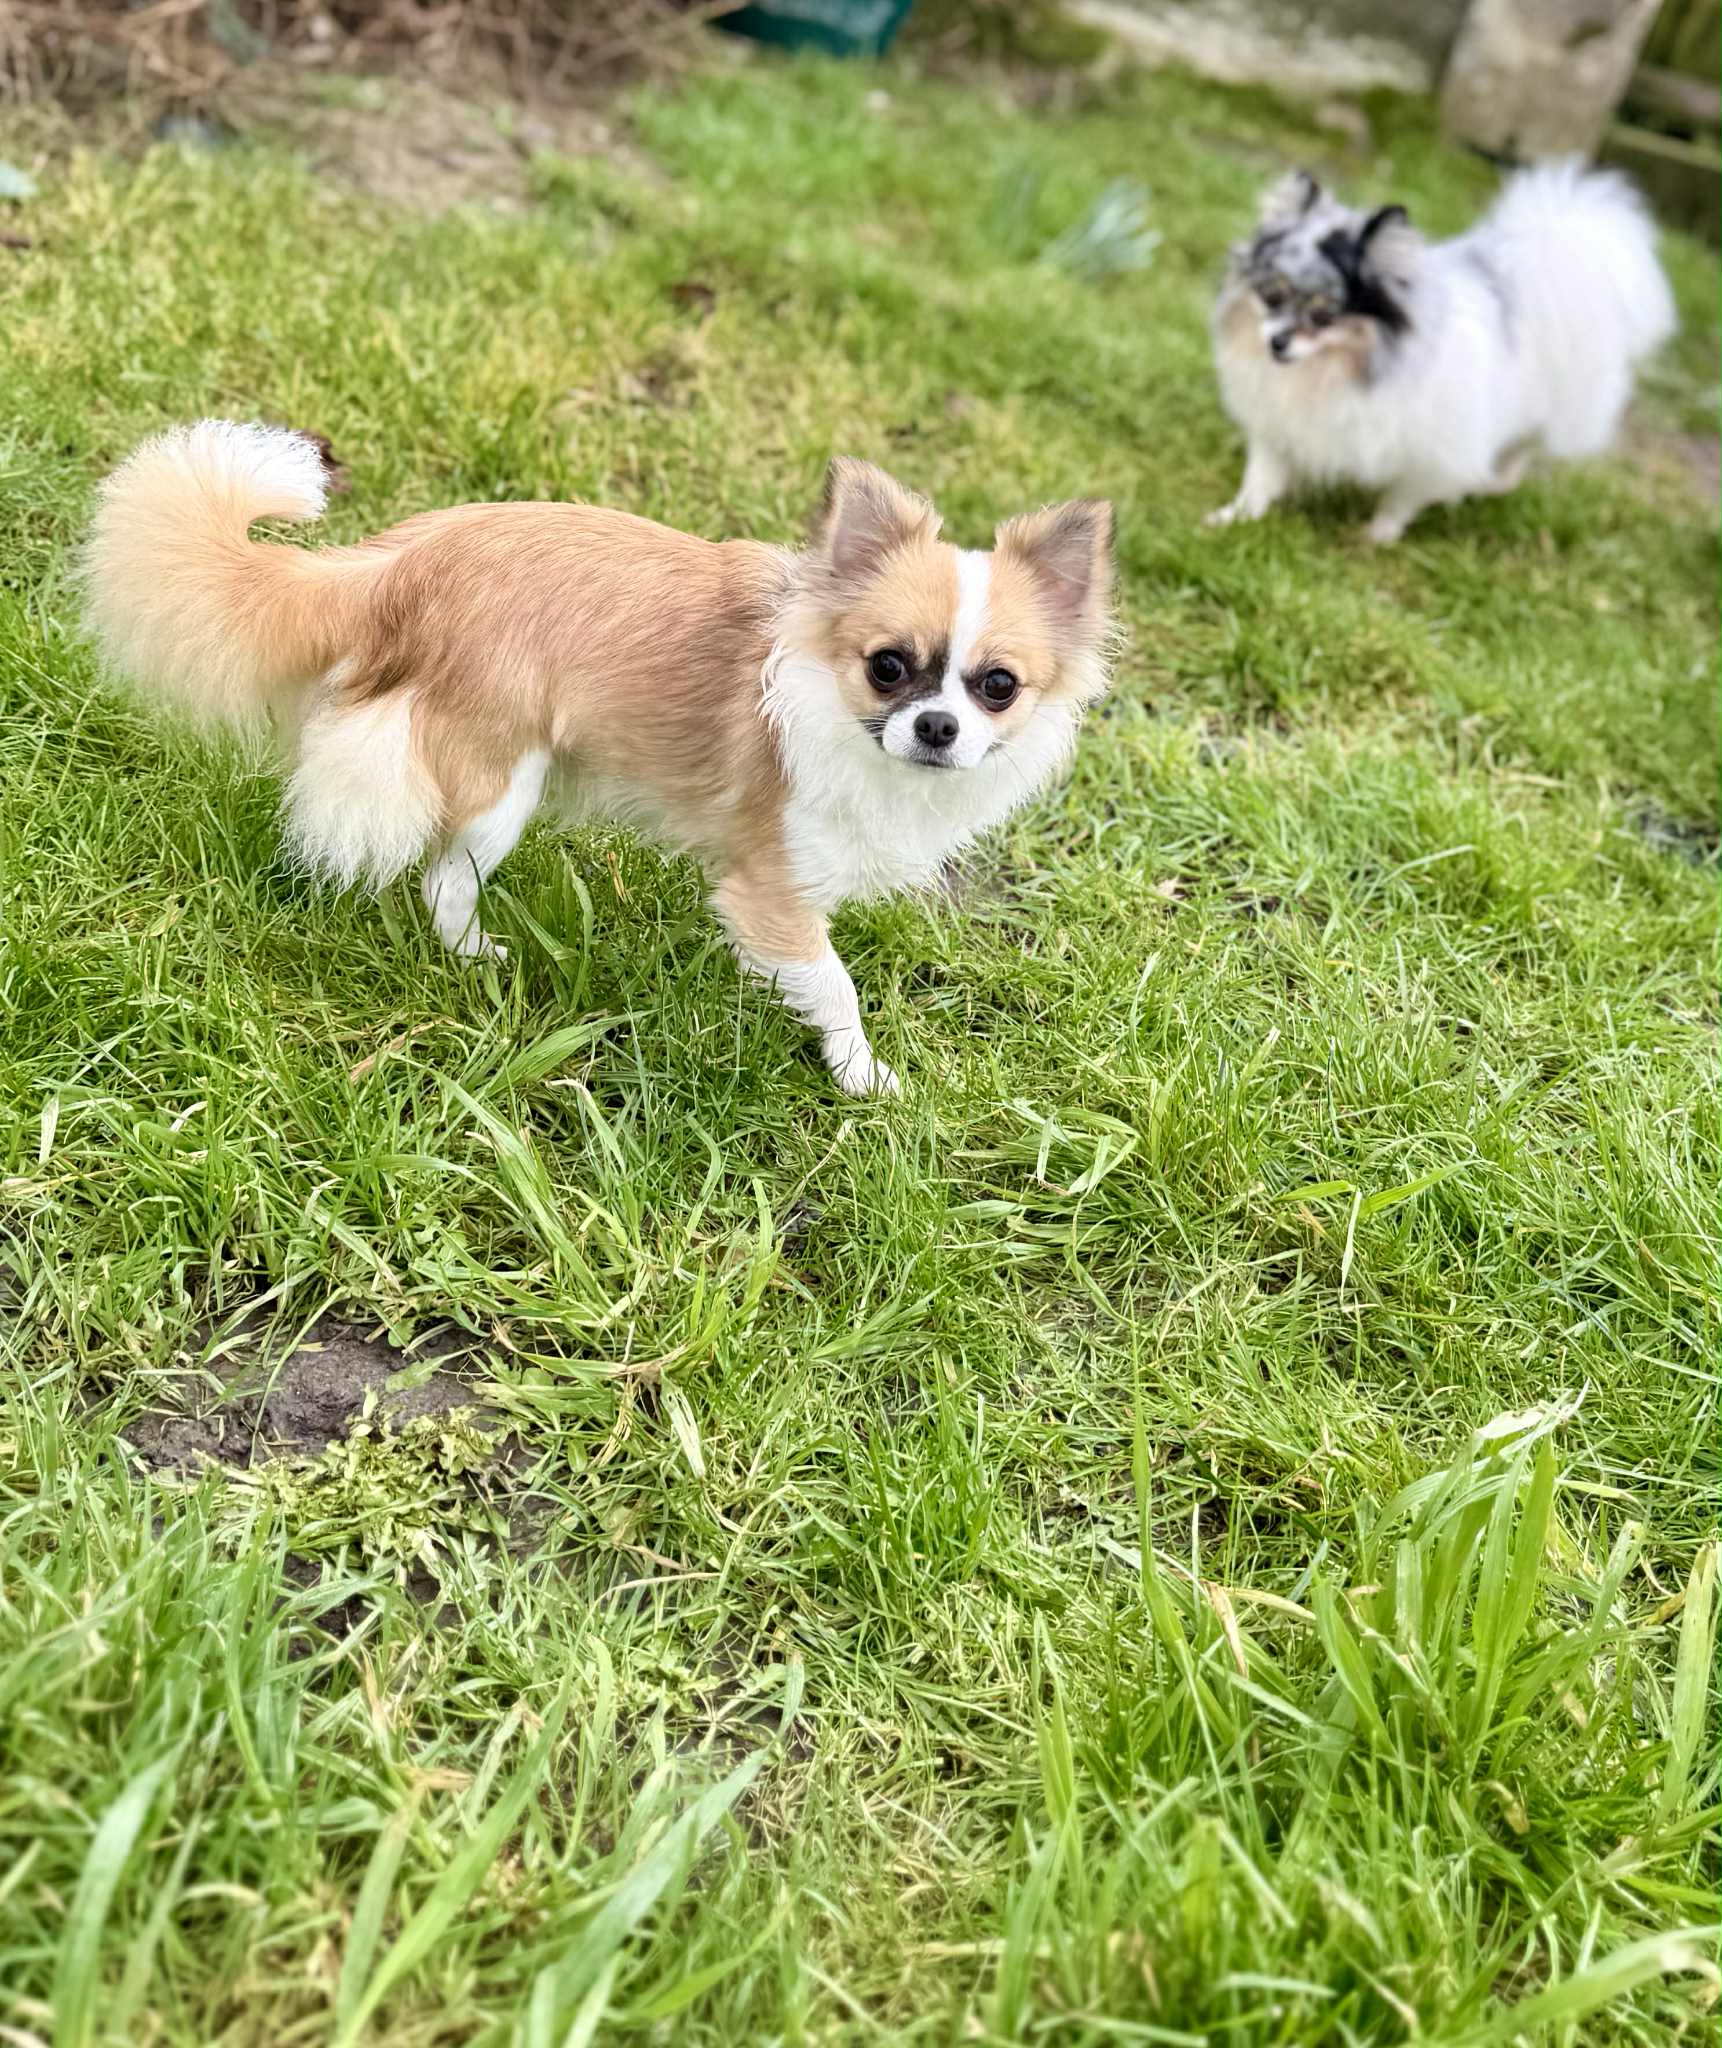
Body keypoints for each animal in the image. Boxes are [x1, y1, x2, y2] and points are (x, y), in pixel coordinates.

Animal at [85, 424, 1112, 1095]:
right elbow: (834, 983)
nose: (936, 727)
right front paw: (864, 1076)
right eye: (889, 667)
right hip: (503, 778)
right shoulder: (769, 885)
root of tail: (393, 567)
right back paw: (478, 959)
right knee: (443, 880)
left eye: (998, 687)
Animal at [1206, 163, 1675, 543]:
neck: (1334, 372)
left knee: (1520, 452)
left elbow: (1403, 497)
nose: (1277, 342)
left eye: (1324, 315)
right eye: (1271, 295)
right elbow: (1260, 480)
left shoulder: (1436, 451)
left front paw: (1377, 536)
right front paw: (1235, 518)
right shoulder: (1278, 426)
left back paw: (1492, 482)